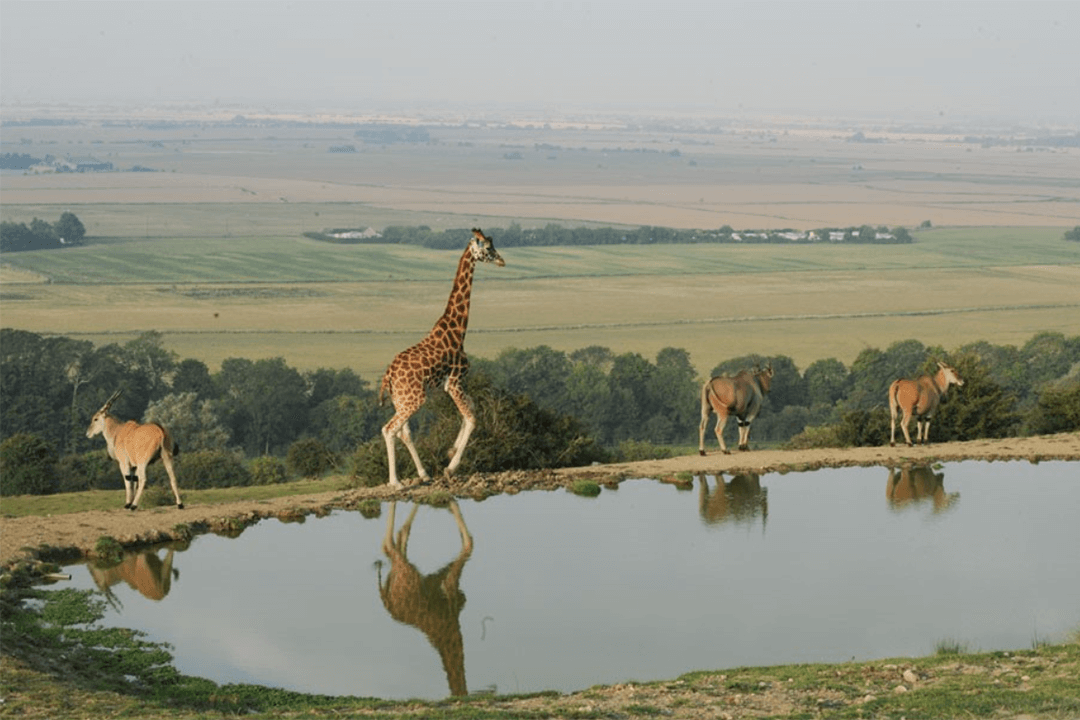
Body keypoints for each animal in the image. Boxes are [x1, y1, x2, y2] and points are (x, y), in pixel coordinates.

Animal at [379, 228, 505, 488]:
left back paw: (424, 474)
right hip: (415, 398)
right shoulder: (454, 382)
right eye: (488, 248)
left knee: (404, 432)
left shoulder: (455, 384)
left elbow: (472, 409)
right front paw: (450, 467)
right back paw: (396, 482)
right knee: (389, 429)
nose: (502, 261)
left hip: (401, 399)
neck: (458, 331)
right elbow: (472, 418)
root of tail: (388, 376)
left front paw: (450, 451)